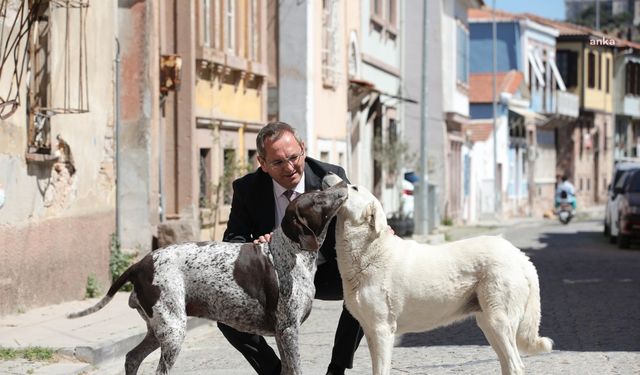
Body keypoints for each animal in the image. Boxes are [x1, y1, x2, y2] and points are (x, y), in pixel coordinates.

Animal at [68, 182, 348, 374]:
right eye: (318, 197)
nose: (343, 183)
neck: (292, 250)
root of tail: (141, 263)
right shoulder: (288, 329)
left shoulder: (282, 333)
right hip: (173, 330)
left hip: (158, 329)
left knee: (132, 357)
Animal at [322, 175, 552, 374]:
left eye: (353, 188)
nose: (330, 173)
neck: (369, 250)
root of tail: (520, 256)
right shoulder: (370, 331)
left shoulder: (382, 330)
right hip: (487, 323)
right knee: (507, 363)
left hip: (499, 321)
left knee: (516, 365)